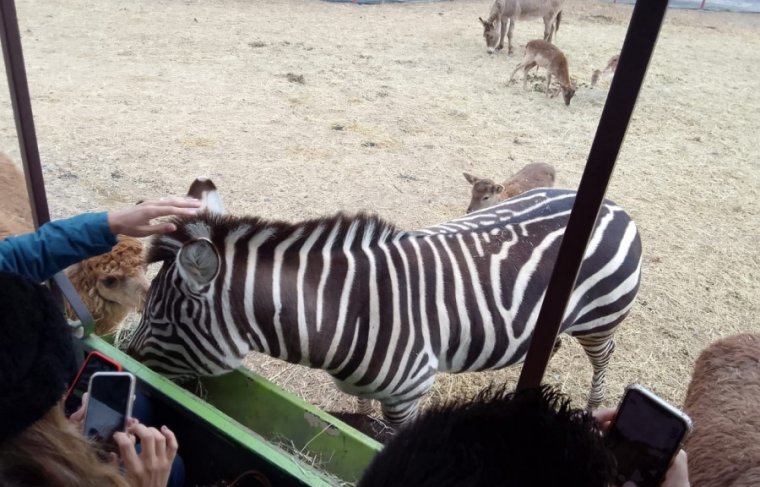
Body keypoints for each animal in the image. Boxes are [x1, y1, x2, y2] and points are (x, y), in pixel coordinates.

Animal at [124, 180, 640, 428]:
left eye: (159, 317)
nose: (126, 359)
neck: (345, 309)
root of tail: (613, 204)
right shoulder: (368, 384)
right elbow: (362, 415)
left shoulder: (410, 393)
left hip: (601, 318)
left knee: (606, 356)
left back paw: (595, 405)